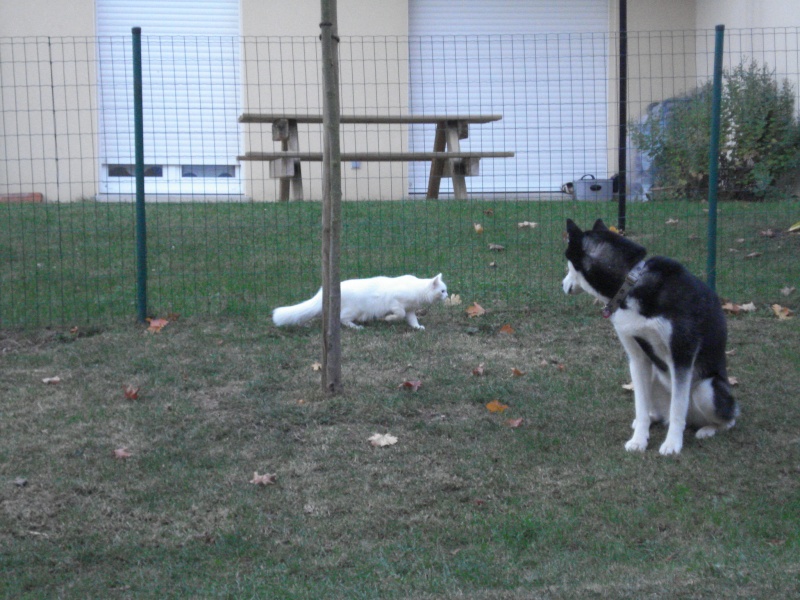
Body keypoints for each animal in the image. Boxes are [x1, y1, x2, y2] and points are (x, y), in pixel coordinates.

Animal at [272, 274, 446, 330]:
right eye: (443, 291)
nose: (447, 295)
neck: (417, 289)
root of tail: (323, 292)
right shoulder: (395, 302)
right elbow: (399, 314)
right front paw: (388, 319)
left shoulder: (410, 310)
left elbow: (412, 320)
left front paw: (417, 327)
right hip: (353, 310)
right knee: (341, 319)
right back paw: (356, 327)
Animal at [564, 219, 736, 454]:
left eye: (568, 267)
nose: (562, 285)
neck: (631, 283)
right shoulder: (637, 357)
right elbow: (641, 406)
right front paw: (638, 440)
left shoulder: (682, 355)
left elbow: (677, 408)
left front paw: (672, 444)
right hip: (655, 375)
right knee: (658, 412)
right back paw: (652, 419)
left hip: (707, 389)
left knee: (728, 419)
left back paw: (708, 429)